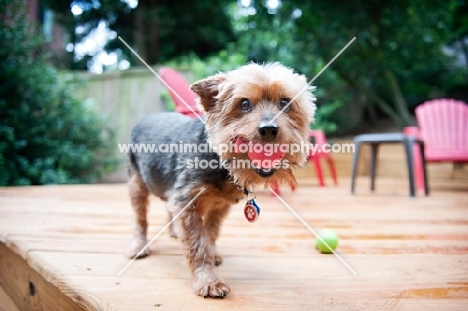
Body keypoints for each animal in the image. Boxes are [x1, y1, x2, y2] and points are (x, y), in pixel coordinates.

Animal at [125, 62, 314, 298]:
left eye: (285, 103)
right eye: (244, 104)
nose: (269, 129)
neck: (222, 163)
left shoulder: (219, 205)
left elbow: (211, 231)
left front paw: (211, 252)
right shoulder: (187, 201)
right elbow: (197, 243)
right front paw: (208, 281)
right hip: (137, 183)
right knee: (139, 218)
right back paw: (138, 245)